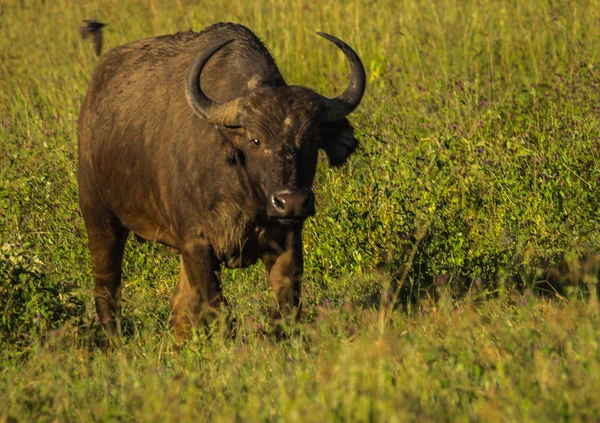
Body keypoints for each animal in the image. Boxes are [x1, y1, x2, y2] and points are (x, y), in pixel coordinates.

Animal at [77, 22, 364, 342]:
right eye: (255, 140)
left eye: (312, 138)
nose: (290, 202)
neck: (245, 193)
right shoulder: (197, 243)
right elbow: (215, 306)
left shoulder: (287, 240)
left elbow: (286, 305)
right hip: (98, 215)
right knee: (107, 284)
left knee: (180, 303)